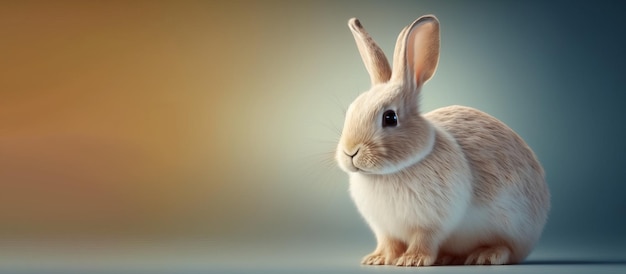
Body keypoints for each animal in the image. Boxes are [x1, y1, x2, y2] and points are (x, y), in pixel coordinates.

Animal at [334, 14, 548, 266]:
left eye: (390, 117)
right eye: (350, 111)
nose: (350, 152)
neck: (391, 172)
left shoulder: (431, 223)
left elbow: (424, 239)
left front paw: (412, 260)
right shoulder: (384, 228)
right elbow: (389, 243)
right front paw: (377, 259)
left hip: (511, 226)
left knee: (507, 248)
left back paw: (485, 255)